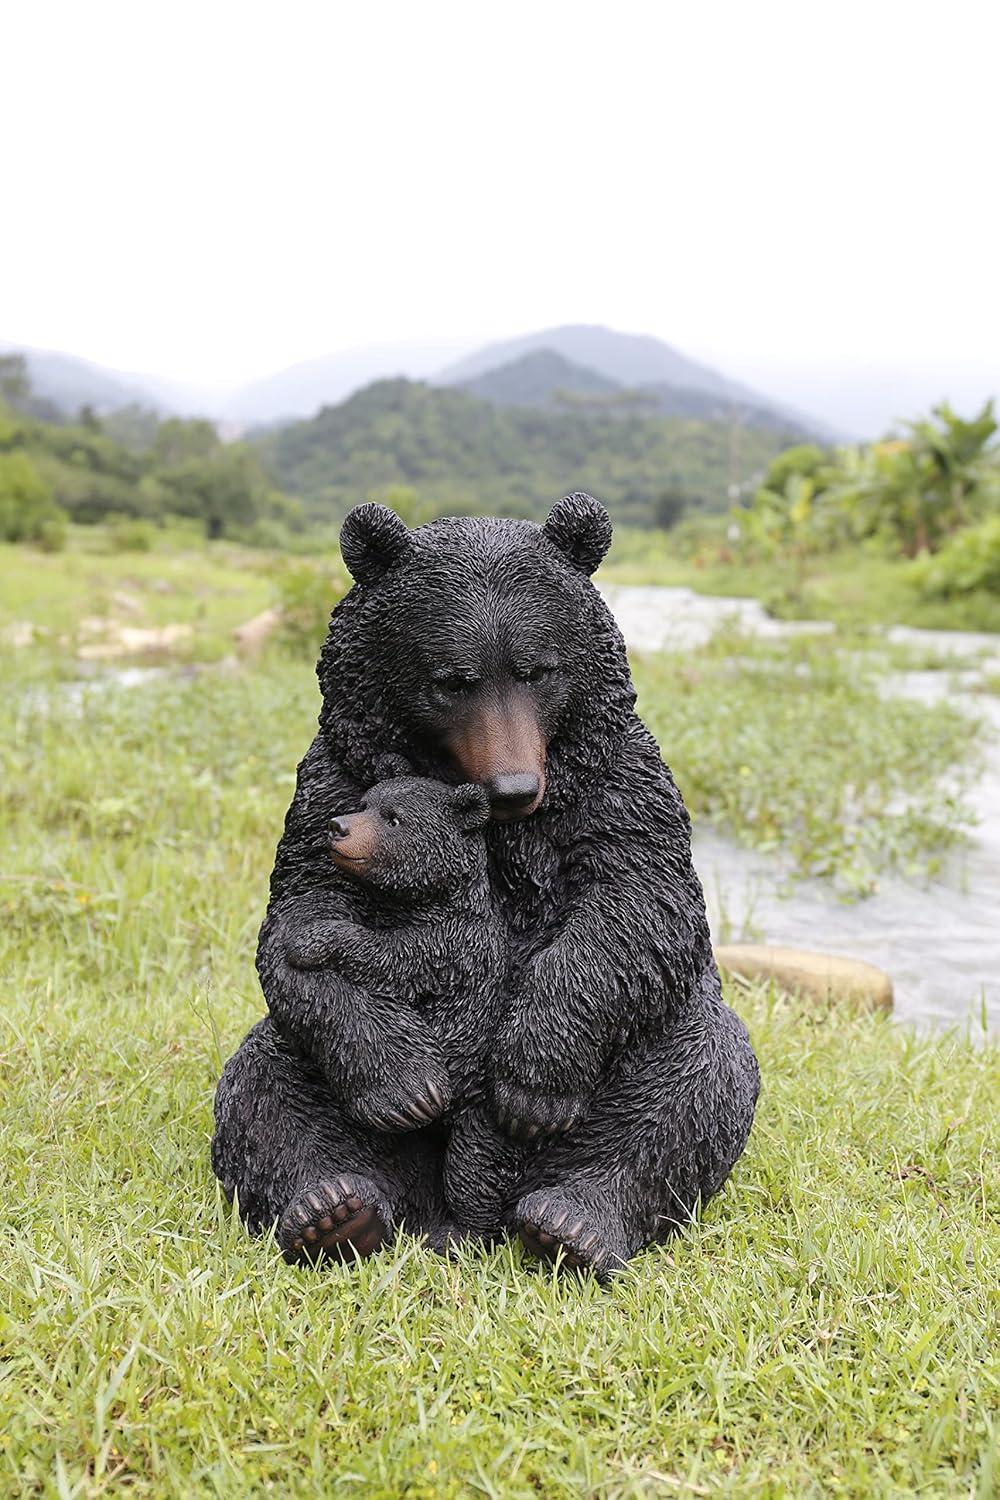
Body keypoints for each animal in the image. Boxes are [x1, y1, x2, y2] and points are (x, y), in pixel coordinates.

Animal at [212, 491, 760, 1279]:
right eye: (453, 680)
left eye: (539, 670)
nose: (515, 786)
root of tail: (459, 1214)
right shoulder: (333, 782)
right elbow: (303, 908)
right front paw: (404, 1083)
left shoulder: (618, 784)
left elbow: (640, 903)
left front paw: (534, 1083)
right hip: (313, 1071)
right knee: (265, 1090)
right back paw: (334, 1210)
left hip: (647, 1053)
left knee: (696, 1082)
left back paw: (571, 1223)